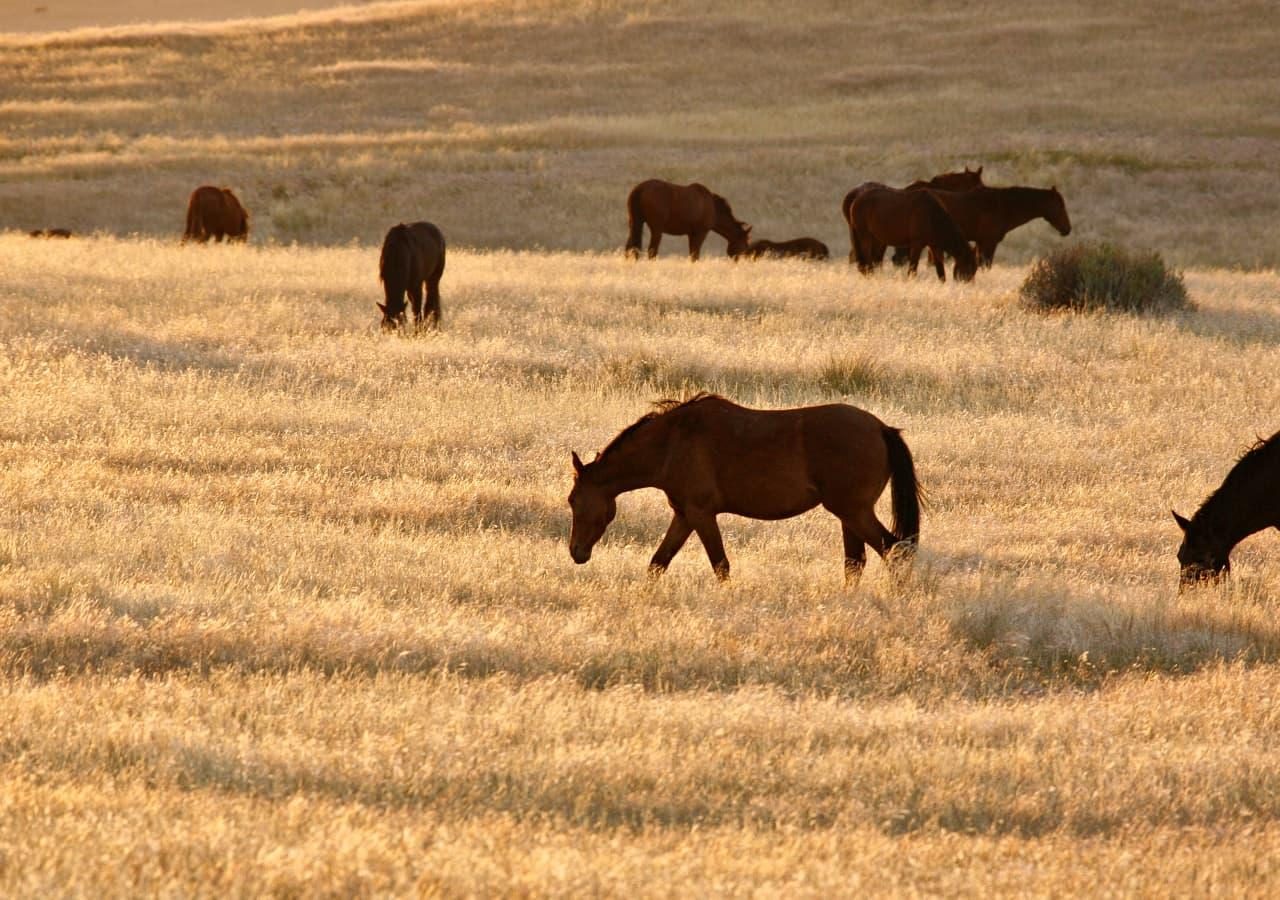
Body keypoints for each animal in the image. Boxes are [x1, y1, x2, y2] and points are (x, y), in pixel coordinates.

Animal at [568, 396, 921, 583]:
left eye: (573, 501)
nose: (576, 552)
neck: (671, 442)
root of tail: (881, 428)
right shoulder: (684, 515)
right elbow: (658, 563)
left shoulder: (701, 514)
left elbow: (721, 566)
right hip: (849, 516)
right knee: (855, 563)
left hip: (854, 512)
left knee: (895, 551)